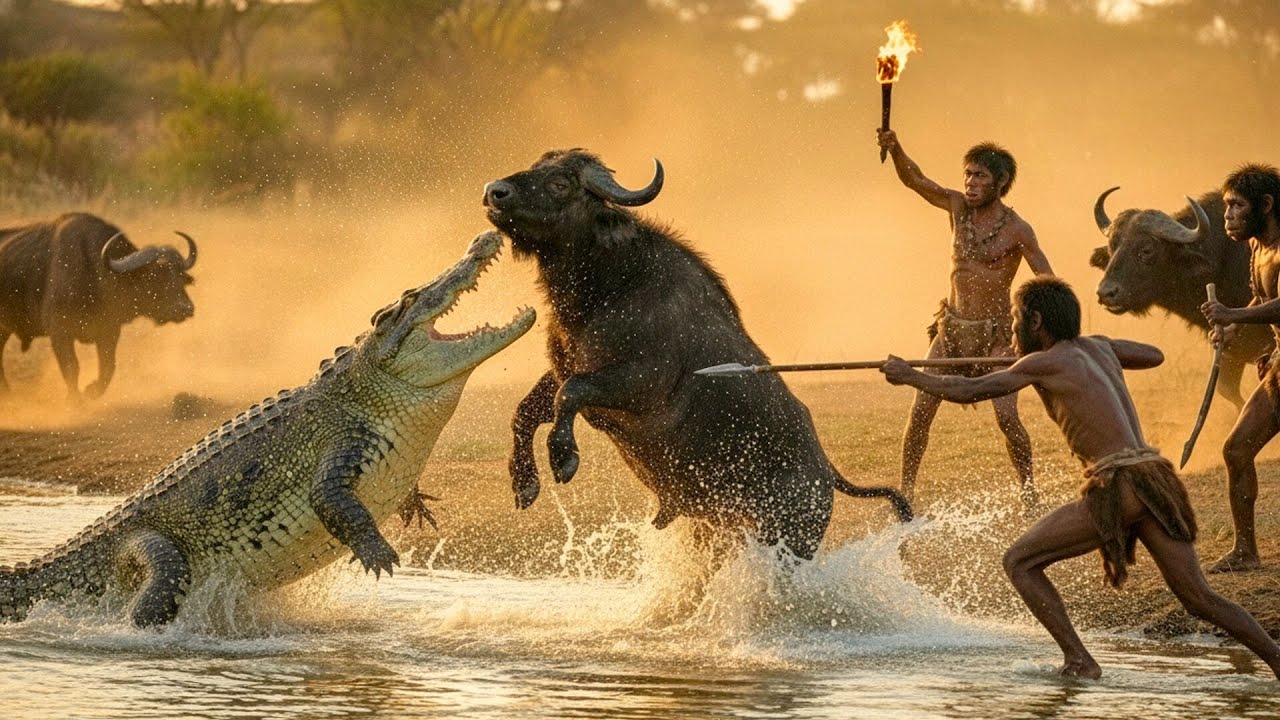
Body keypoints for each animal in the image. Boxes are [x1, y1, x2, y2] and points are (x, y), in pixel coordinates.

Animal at [0, 212, 197, 400]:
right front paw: (75, 400)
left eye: (180, 275)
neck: (94, 274)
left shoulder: (109, 331)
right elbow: (71, 367)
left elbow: (108, 367)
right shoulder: (59, 333)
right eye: (154, 276)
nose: (186, 308)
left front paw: (91, 391)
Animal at [483, 149, 911, 561]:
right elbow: (527, 410)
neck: (607, 290)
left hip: (786, 539)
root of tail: (826, 472)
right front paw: (524, 483)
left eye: (560, 183)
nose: (494, 192)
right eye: (536, 167)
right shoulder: (565, 368)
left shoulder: (638, 382)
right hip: (716, 527)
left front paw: (564, 458)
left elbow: (569, 394)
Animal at [1090, 189, 1272, 408]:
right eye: (1112, 247)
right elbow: (1229, 392)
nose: (1106, 293)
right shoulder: (1231, 351)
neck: (1223, 257)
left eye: (1146, 250)